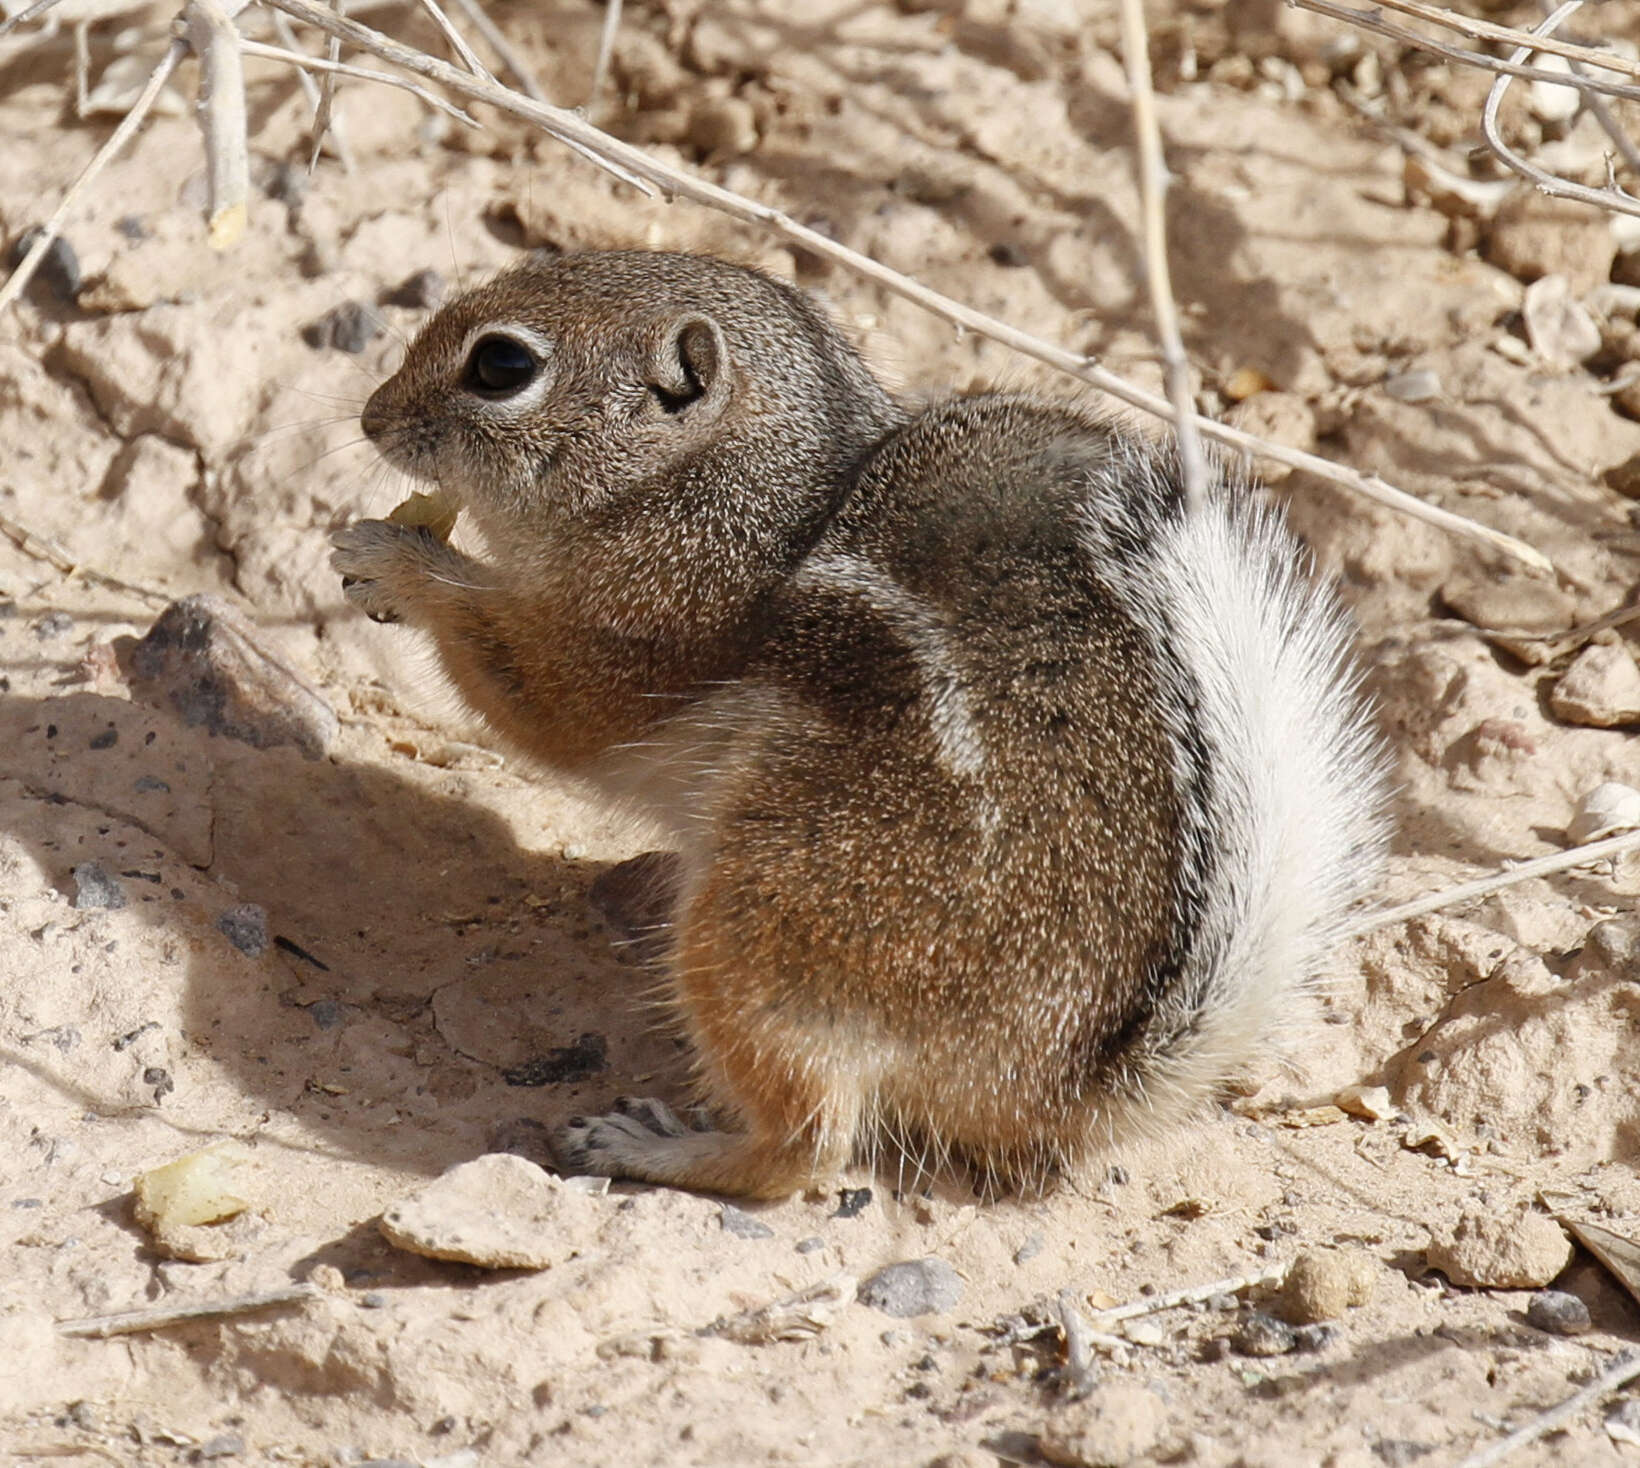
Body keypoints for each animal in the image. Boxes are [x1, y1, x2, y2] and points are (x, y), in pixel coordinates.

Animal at [329, 249, 1384, 1194]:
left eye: (502, 366)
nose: (371, 417)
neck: (722, 488)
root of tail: (1060, 1089)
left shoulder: (645, 623)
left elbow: (541, 696)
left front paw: (394, 561)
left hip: (757, 925)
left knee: (808, 1147)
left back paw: (648, 1147)